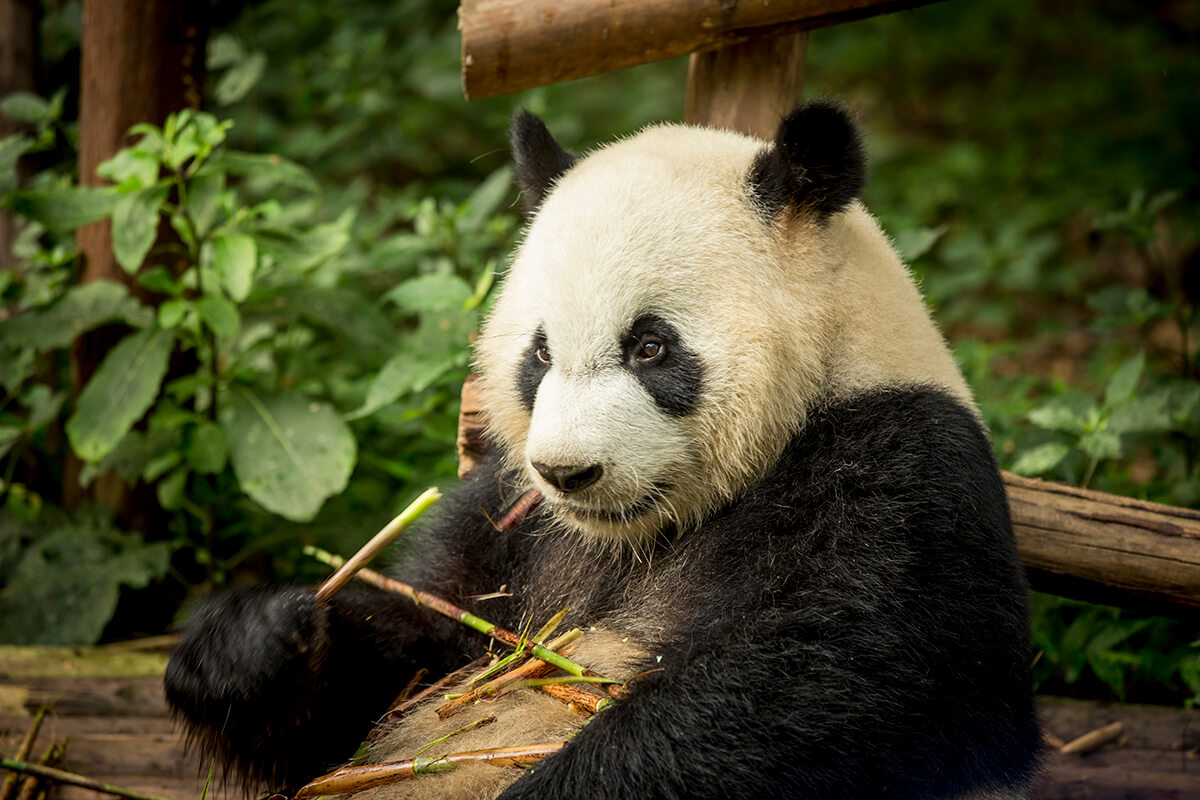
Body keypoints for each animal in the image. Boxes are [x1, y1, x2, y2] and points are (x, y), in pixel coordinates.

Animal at [166, 103, 1041, 796]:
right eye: (540, 353)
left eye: (651, 347)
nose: (567, 472)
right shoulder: (506, 515)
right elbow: (412, 652)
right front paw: (244, 648)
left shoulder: (897, 470)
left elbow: (848, 686)